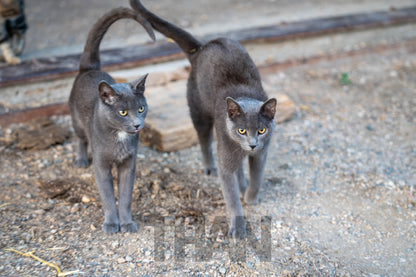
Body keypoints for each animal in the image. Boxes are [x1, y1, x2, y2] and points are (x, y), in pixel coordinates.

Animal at [69, 7, 155, 233]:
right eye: (123, 112)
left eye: (141, 108)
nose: (137, 124)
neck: (120, 137)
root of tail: (89, 68)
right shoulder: (101, 165)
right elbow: (108, 197)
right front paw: (110, 223)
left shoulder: (128, 164)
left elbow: (125, 197)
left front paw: (126, 223)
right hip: (77, 121)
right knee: (80, 139)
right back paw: (81, 160)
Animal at [130, 0, 278, 237]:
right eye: (241, 130)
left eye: (262, 130)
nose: (253, 144)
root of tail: (201, 47)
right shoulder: (227, 152)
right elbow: (230, 194)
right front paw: (238, 227)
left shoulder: (262, 153)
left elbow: (257, 175)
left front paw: (251, 197)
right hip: (199, 111)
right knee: (204, 140)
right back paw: (210, 167)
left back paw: (243, 184)